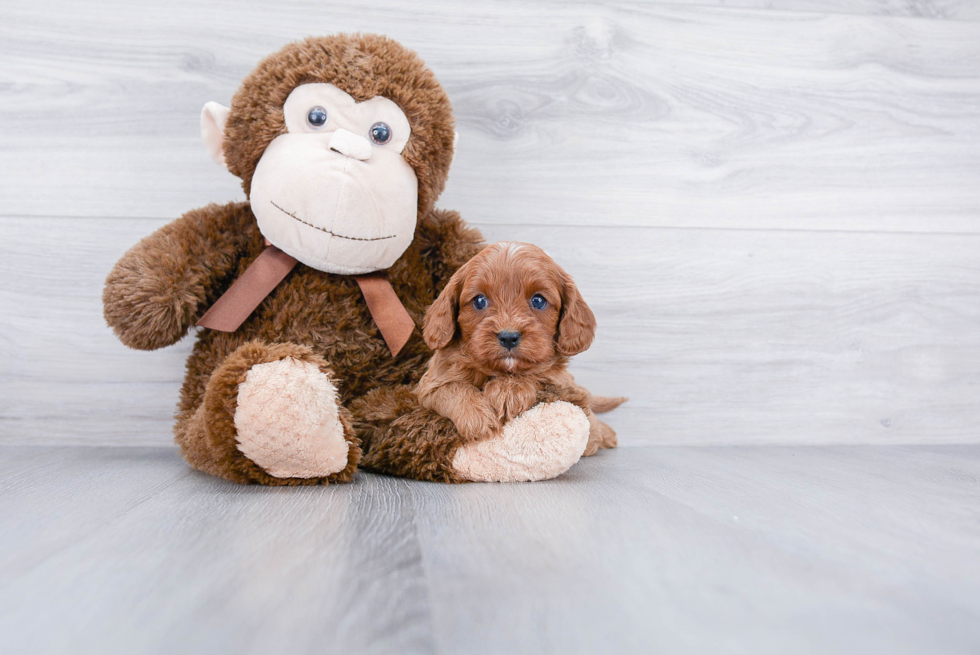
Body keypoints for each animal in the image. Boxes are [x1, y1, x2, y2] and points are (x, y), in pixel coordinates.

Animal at [418, 241, 624, 456]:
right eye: (479, 300)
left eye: (538, 300)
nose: (509, 337)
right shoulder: (430, 385)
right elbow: (453, 388)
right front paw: (476, 416)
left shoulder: (561, 381)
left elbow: (540, 374)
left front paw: (509, 389)